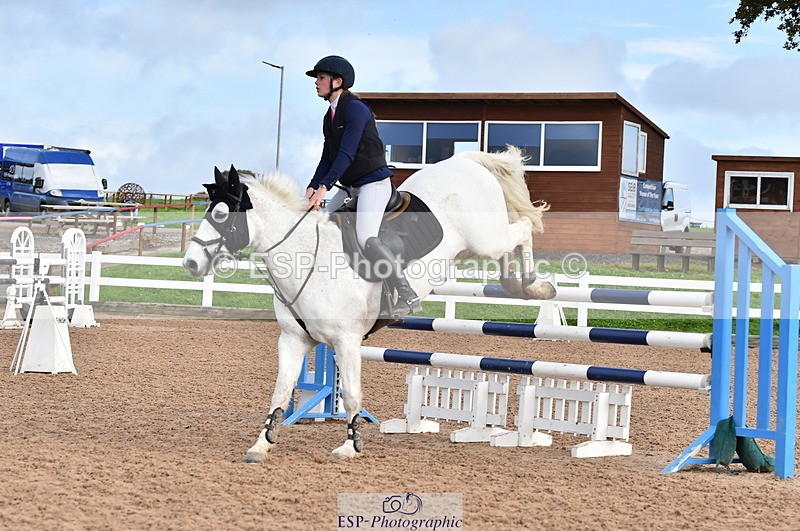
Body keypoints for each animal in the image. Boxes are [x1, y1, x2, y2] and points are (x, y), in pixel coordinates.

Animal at [182, 146, 556, 461]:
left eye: (220, 215)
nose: (190, 263)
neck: (307, 257)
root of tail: (466, 161)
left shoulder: (346, 342)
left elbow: (350, 394)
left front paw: (350, 446)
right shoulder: (293, 340)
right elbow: (280, 392)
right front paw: (261, 444)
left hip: (486, 237)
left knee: (523, 227)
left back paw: (536, 285)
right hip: (477, 244)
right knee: (512, 242)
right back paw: (517, 285)